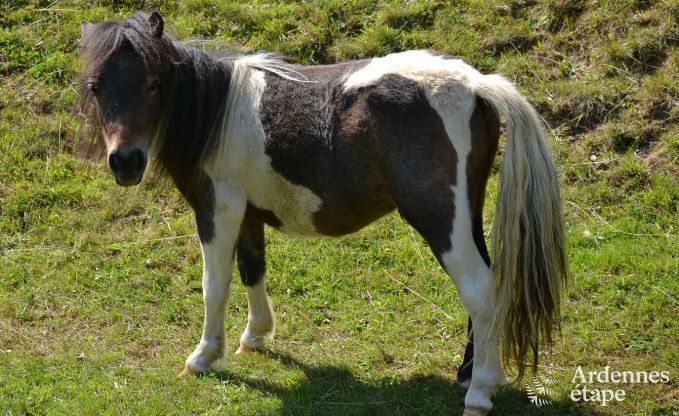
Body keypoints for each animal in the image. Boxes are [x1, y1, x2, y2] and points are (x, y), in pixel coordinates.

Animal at [78, 11, 568, 414]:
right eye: (96, 87)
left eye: (152, 83)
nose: (125, 162)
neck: (215, 111)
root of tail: (478, 83)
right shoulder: (248, 215)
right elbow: (253, 270)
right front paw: (255, 337)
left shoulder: (217, 211)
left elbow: (214, 286)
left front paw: (204, 356)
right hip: (466, 216)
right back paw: (471, 374)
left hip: (441, 220)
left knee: (481, 293)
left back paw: (479, 392)